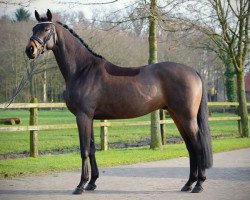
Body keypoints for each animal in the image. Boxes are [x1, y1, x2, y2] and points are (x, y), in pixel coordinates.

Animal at [25, 10, 212, 195]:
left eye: (46, 29)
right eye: (34, 28)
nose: (30, 50)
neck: (82, 70)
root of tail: (194, 72)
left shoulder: (83, 116)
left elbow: (84, 150)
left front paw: (81, 185)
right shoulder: (90, 118)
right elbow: (92, 149)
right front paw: (92, 182)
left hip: (186, 117)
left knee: (197, 146)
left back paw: (199, 184)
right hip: (177, 116)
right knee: (190, 147)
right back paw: (189, 183)